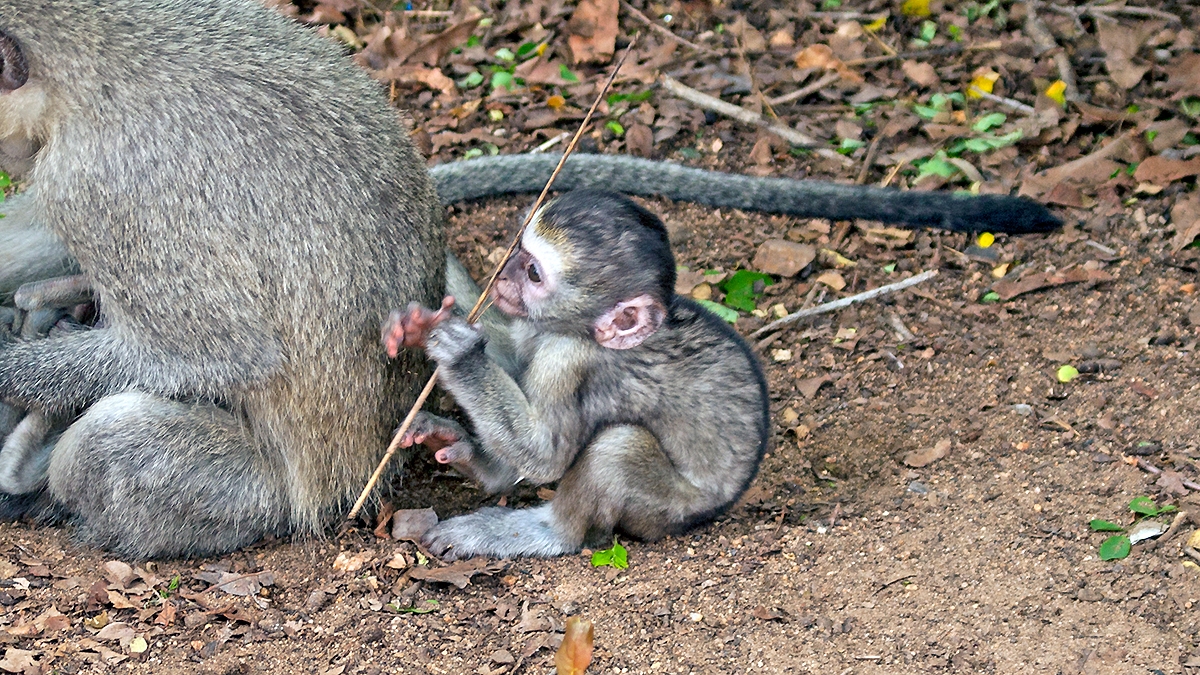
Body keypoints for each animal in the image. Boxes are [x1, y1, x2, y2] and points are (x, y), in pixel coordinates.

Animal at [382, 189, 770, 559]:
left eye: (533, 272)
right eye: (519, 249)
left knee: (620, 446)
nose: (503, 275)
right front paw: (421, 324)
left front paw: (461, 355)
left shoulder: (567, 359)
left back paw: (548, 531)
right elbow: (514, 356)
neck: (583, 331)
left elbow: (545, 457)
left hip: (670, 509)